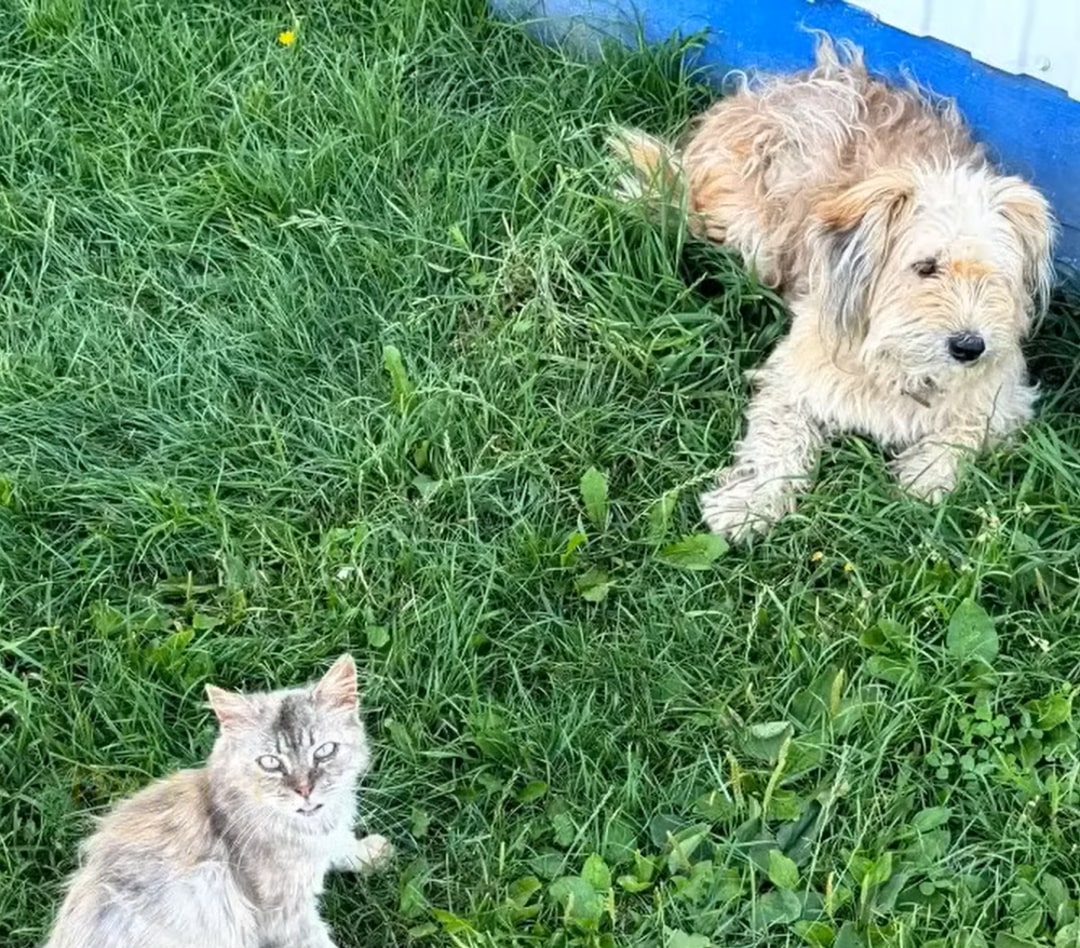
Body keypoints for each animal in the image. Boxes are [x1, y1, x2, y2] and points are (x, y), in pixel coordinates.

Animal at [46, 656, 395, 948]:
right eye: (270, 763)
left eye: (324, 751)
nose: (304, 789)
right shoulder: (286, 915)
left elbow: (343, 844)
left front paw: (370, 854)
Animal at [613, 35, 1058, 542]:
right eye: (926, 267)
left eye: (995, 276)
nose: (969, 347)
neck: (898, 364)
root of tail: (759, 90)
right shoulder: (791, 381)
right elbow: (777, 445)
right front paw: (749, 503)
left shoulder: (1006, 400)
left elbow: (960, 436)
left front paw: (924, 477)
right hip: (754, 237)